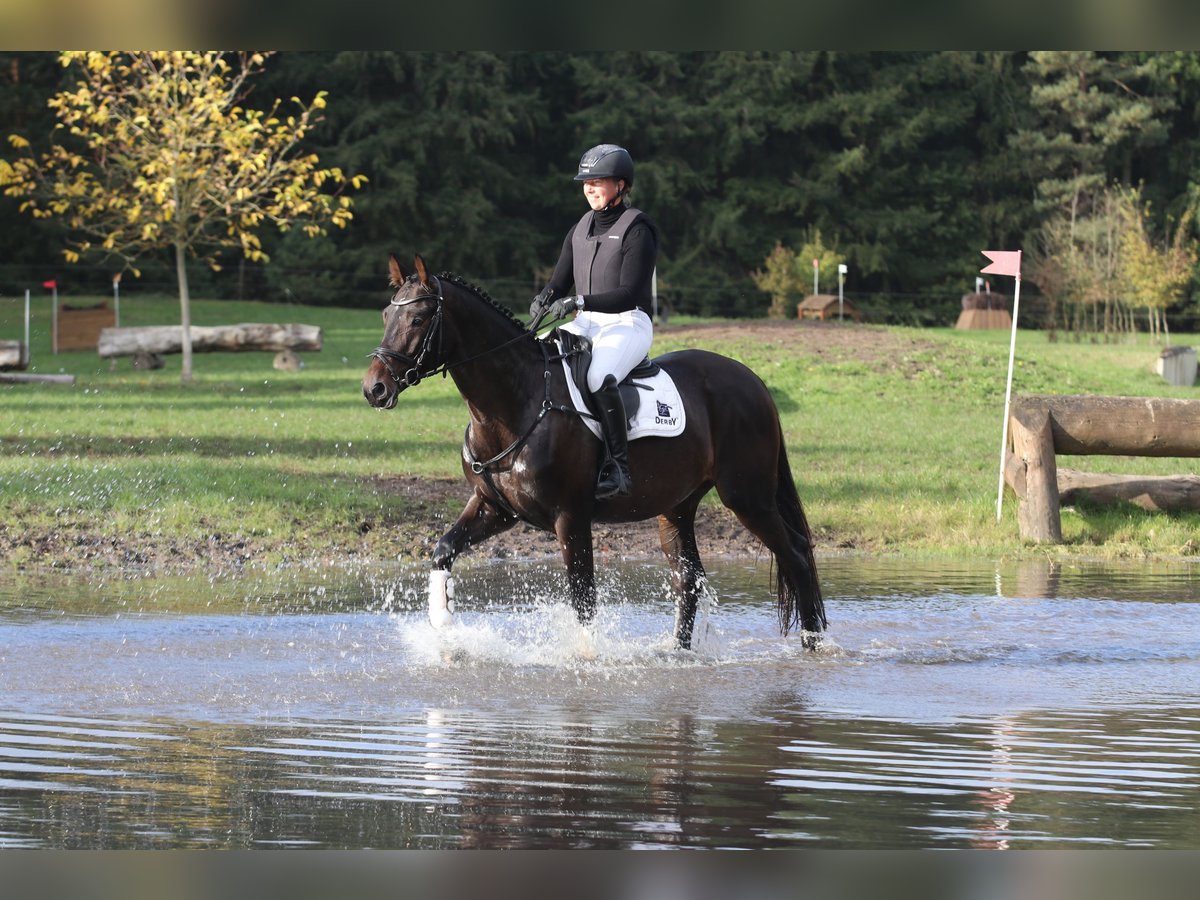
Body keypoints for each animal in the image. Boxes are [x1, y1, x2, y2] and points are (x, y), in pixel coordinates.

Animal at [357, 254, 825, 648]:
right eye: (385, 315)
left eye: (418, 317)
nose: (373, 388)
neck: (516, 401)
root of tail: (753, 381)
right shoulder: (495, 508)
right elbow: (443, 550)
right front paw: (443, 628)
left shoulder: (571, 517)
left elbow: (583, 599)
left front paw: (585, 660)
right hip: (676, 509)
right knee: (689, 581)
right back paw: (678, 654)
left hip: (748, 498)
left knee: (796, 554)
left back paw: (813, 643)